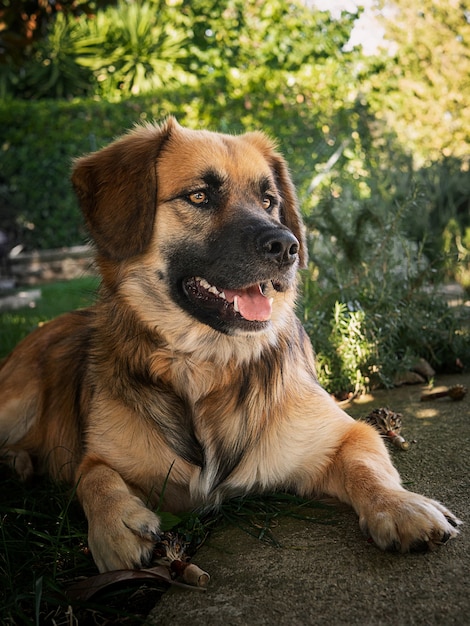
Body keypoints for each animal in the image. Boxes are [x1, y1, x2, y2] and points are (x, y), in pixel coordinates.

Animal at [0, 117, 462, 572]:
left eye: (269, 201)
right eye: (199, 196)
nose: (287, 247)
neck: (208, 363)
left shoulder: (344, 434)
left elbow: (366, 464)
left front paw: (399, 506)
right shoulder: (103, 456)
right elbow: (93, 476)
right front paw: (117, 527)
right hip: (18, 401)